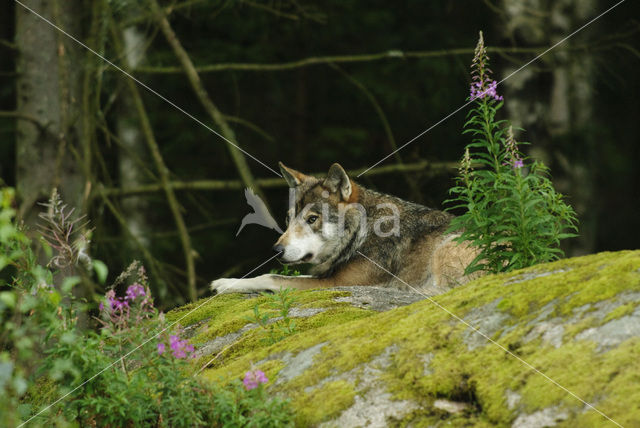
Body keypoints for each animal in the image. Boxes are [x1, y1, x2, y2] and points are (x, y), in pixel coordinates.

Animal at [211, 162, 480, 296]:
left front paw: (225, 284)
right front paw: (227, 281)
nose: (276, 250)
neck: (362, 233)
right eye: (288, 219)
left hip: (445, 247)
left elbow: (271, 277)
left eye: (312, 219)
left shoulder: (336, 283)